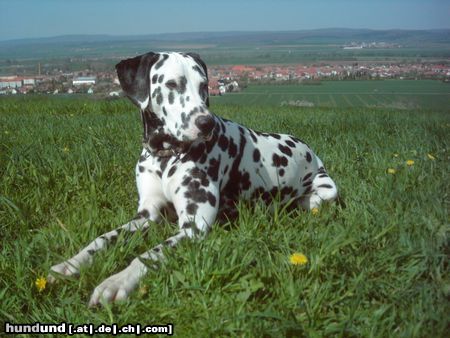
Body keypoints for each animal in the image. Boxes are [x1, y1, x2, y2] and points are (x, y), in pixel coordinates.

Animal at [49, 52, 338, 306]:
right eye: (172, 84)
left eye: (203, 85)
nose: (205, 123)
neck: (165, 157)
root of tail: (311, 152)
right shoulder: (145, 216)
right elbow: (102, 238)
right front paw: (71, 263)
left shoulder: (193, 227)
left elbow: (148, 254)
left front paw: (117, 281)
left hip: (325, 191)